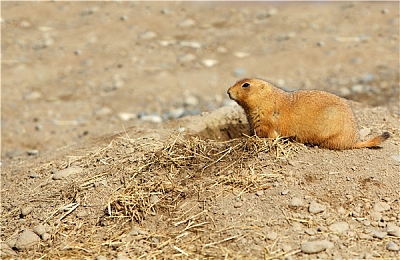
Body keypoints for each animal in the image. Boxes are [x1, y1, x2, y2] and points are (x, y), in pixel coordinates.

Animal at [227, 78, 390, 149]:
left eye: (246, 84)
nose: (228, 91)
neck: (267, 99)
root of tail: (353, 141)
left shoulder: (266, 120)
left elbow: (267, 134)